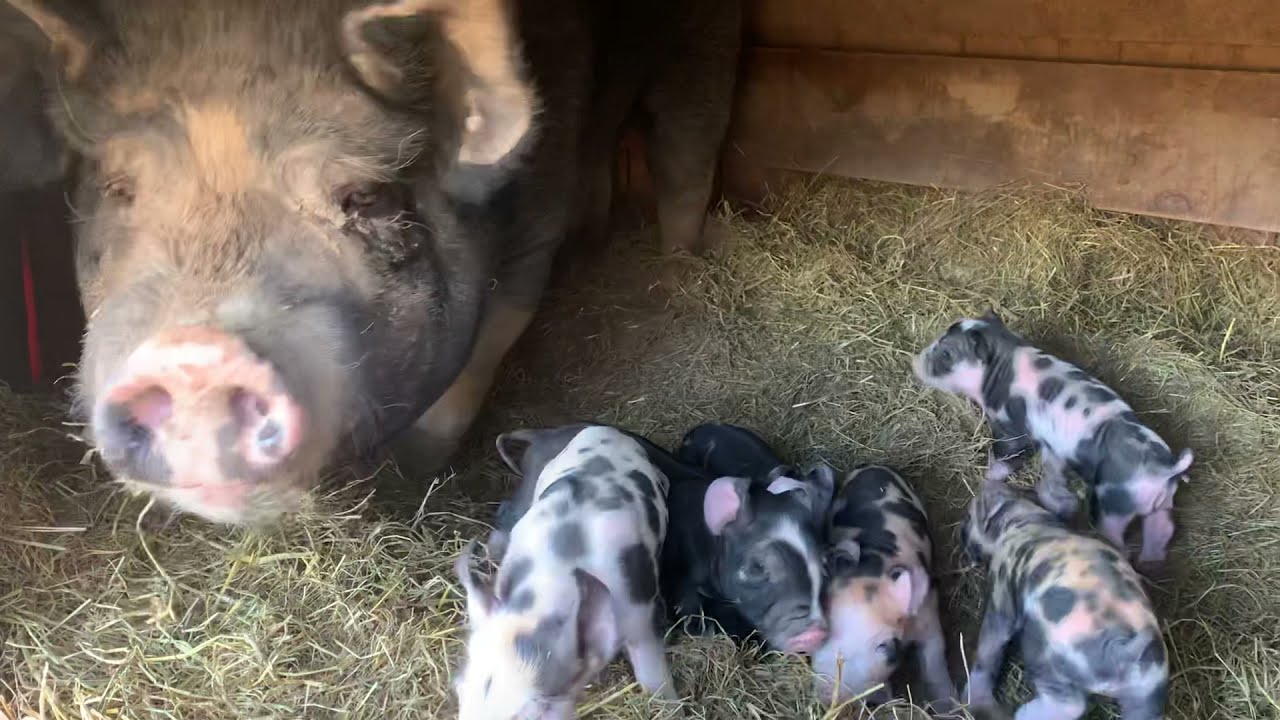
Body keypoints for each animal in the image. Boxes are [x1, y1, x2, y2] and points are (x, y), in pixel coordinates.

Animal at [4, 0, 742, 524]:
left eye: (361, 196)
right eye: (118, 189)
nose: (193, 354)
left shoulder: (537, 226)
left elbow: (476, 366)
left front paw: (409, 485)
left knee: (687, 146)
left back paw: (677, 263)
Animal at [812, 464, 957, 711]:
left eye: (883, 645)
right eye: (826, 631)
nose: (827, 696)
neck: (875, 569)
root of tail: (870, 465)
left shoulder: (928, 613)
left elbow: (935, 660)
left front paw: (952, 708)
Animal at [913, 310, 1194, 563]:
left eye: (947, 353)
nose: (915, 361)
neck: (1002, 365)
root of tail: (1164, 467)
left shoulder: (1010, 425)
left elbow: (1008, 455)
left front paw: (988, 477)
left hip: (1113, 506)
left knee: (1120, 539)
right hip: (1162, 504)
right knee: (1161, 533)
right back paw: (1150, 563)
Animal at [960, 478, 1169, 720]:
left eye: (969, 516)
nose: (988, 482)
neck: (1024, 522)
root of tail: (1124, 652)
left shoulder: (1002, 586)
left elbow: (994, 638)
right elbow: (1070, 505)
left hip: (1047, 657)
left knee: (1069, 704)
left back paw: (1022, 714)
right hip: (1150, 688)